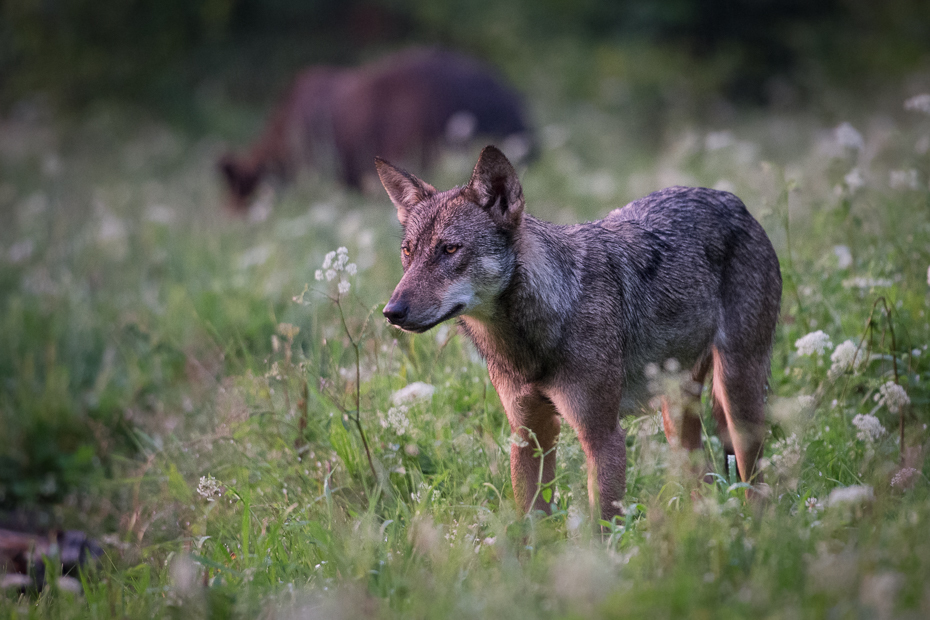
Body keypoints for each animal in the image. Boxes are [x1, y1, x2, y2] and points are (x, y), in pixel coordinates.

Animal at [374, 145, 780, 520]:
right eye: (408, 252)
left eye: (450, 249)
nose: (392, 312)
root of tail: (729, 199)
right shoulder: (528, 436)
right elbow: (529, 528)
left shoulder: (603, 438)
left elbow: (603, 531)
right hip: (677, 415)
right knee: (704, 482)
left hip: (737, 397)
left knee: (756, 486)